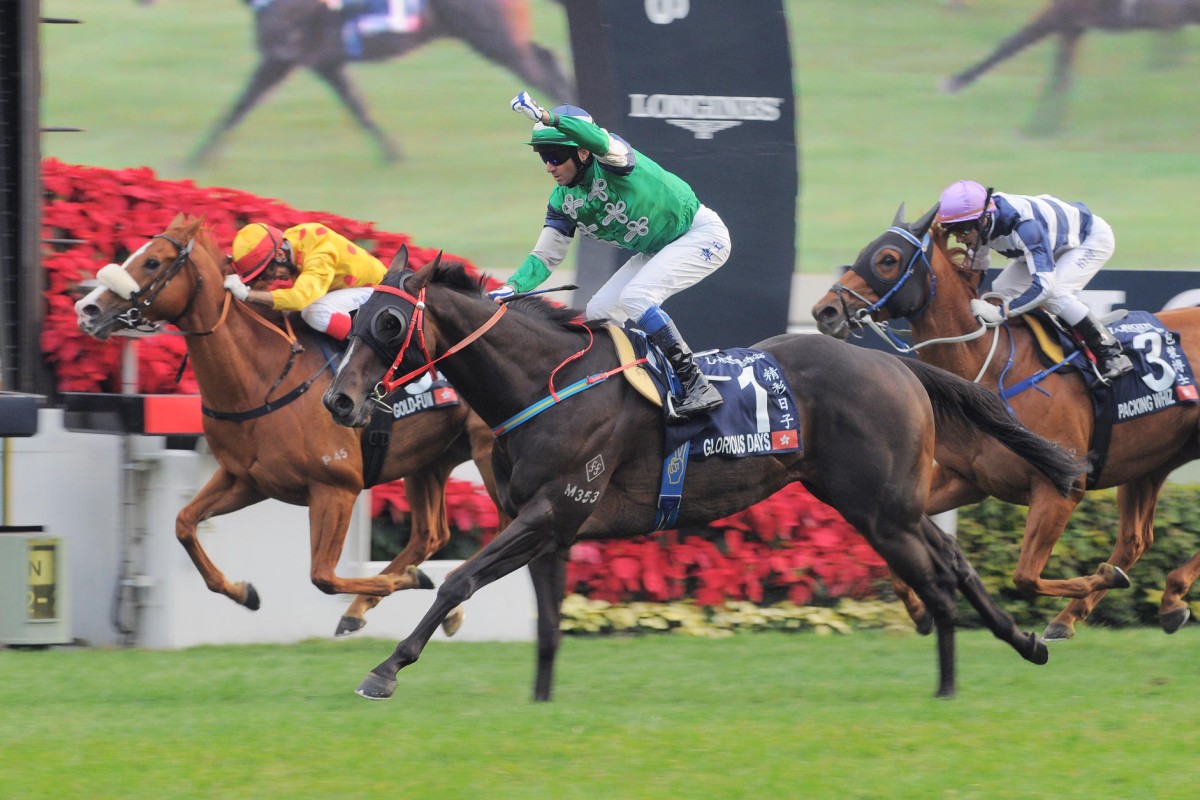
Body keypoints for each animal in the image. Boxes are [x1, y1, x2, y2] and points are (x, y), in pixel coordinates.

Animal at [71, 212, 506, 638]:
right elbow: (183, 524)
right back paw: (396, 606)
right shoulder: (246, 479)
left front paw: (406, 581)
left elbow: (323, 576)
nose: (87, 308)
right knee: (432, 533)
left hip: (488, 453)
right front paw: (243, 592)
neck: (263, 378)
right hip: (429, 460)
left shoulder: (336, 487)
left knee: (501, 523)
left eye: (152, 262)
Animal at [187, 0, 576, 165]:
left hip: (493, 37)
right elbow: (359, 107)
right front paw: (392, 153)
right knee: (546, 62)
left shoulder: (284, 54)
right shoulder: (321, 61)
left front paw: (195, 159)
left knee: (541, 72)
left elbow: (239, 105)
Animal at [321, 250, 1089, 700]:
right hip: (885, 502)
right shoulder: (546, 527)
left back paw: (950, 685)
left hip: (880, 510)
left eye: (389, 325)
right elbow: (544, 624)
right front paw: (540, 701)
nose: (339, 401)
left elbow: (458, 578)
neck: (546, 384)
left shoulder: (553, 509)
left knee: (936, 584)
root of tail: (897, 364)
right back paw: (1024, 643)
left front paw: (385, 670)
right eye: (355, 317)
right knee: (954, 561)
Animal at [811, 205, 1200, 638]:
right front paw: (919, 610)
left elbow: (1025, 577)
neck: (991, 367)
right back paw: (1102, 613)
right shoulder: (965, 478)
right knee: (1135, 539)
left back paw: (1166, 593)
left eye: (887, 259)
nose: (825, 311)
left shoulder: (1062, 488)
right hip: (1150, 461)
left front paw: (1105, 576)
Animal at [940, 0, 1200, 134]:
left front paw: (956, 81)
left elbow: (1012, 44)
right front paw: (1046, 125)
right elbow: (1061, 76)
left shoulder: (1062, 16)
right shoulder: (1072, 26)